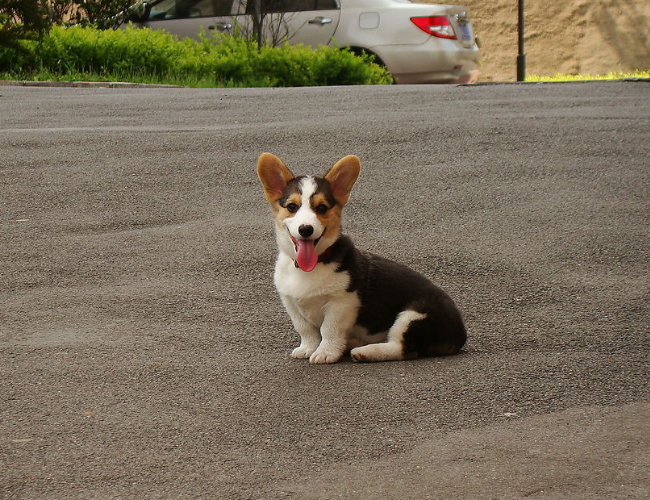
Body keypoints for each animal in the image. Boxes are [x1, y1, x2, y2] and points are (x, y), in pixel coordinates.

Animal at [256, 152, 464, 364]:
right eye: (292, 206)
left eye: (321, 208)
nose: (305, 229)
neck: (314, 264)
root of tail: (460, 335)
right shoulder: (290, 302)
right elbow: (306, 330)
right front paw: (307, 349)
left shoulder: (342, 302)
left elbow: (329, 330)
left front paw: (326, 353)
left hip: (413, 316)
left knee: (403, 348)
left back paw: (365, 351)